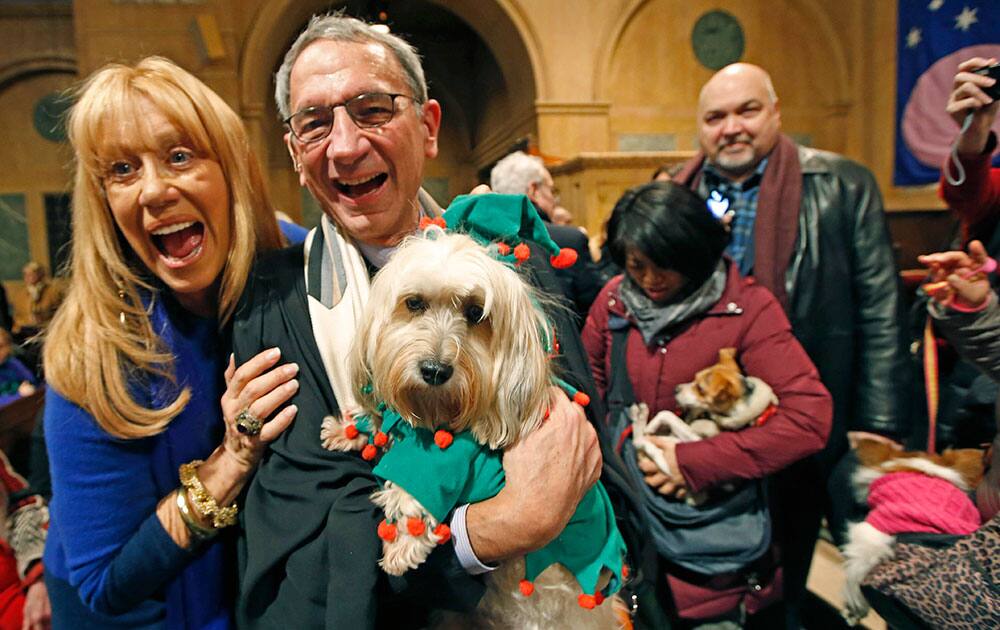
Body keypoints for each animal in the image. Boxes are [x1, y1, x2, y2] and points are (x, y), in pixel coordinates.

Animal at [320, 232, 624, 630]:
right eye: (414, 303)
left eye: (476, 313)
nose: (434, 370)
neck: (438, 412)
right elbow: (383, 421)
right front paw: (349, 428)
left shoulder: (460, 459)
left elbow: (421, 480)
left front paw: (403, 536)